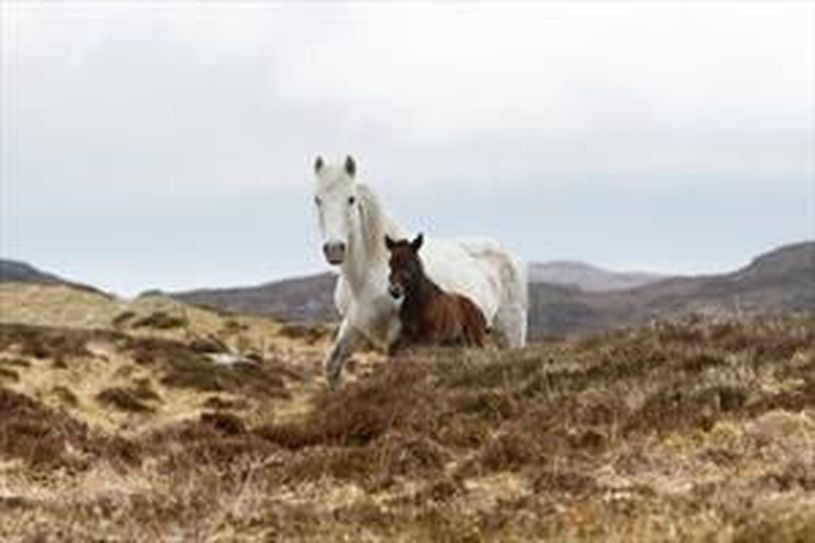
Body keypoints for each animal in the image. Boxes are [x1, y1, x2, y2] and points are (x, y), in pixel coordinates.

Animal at [312, 155, 528, 388]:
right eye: (317, 199)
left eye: (351, 199)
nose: (334, 249)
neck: (367, 274)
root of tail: (508, 255)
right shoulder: (355, 326)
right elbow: (332, 366)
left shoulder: (398, 336)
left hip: (510, 332)